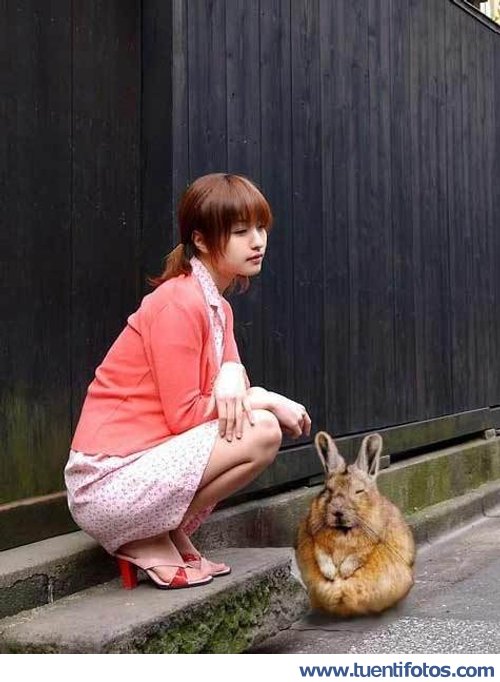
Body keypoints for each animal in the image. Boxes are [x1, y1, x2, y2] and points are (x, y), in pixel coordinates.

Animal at [295, 431, 415, 617]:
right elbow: (321, 554)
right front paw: (331, 574)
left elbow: (358, 556)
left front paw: (343, 573)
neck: (342, 529)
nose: (337, 512)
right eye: (328, 490)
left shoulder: (371, 542)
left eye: (358, 491)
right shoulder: (315, 540)